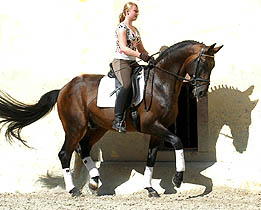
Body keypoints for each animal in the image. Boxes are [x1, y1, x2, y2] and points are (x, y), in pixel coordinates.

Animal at [0, 40, 222, 198]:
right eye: (202, 63)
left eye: (213, 65)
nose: (201, 92)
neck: (160, 83)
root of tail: (64, 88)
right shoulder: (152, 126)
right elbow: (177, 141)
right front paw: (177, 179)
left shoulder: (158, 130)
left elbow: (151, 158)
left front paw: (150, 189)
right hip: (75, 127)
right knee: (65, 153)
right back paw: (74, 190)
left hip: (97, 127)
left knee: (83, 148)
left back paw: (94, 182)